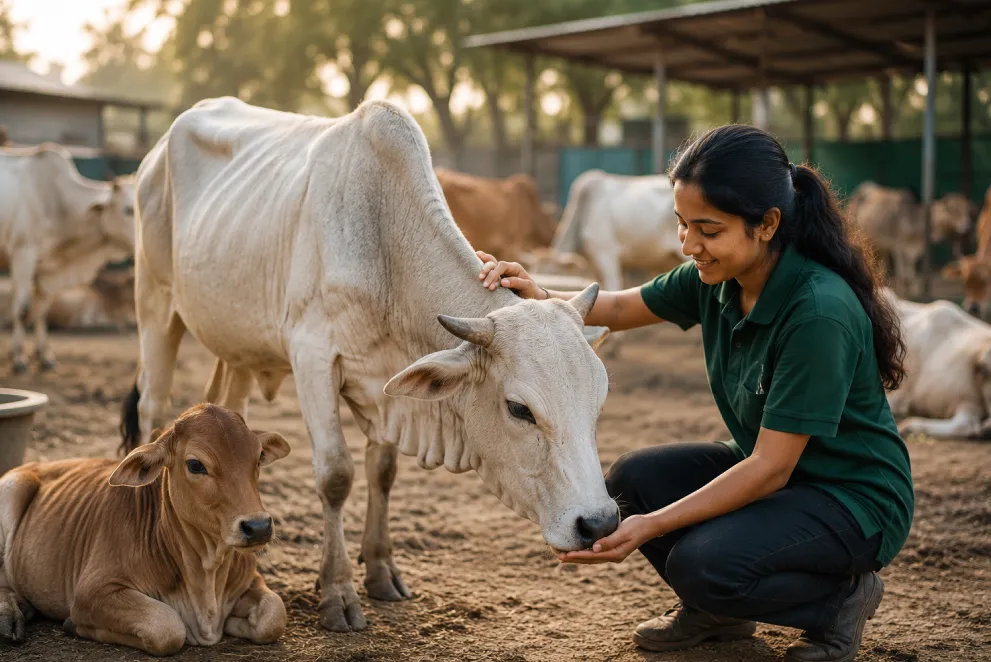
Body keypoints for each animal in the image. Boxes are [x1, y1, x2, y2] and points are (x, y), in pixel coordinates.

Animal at [0, 144, 136, 372]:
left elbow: (41, 308)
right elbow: (22, 308)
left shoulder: (45, 266)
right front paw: (19, 358)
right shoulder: (23, 254)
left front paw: (44, 355)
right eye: (128, 210)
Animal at [0, 403, 290, 655]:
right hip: (11, 488)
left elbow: (274, 617)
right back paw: (11, 616)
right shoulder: (92, 592)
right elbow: (167, 627)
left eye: (259, 457)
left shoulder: (252, 579)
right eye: (195, 464)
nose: (258, 527)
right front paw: (73, 625)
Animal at [119, 97, 619, 633]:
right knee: (152, 410)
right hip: (155, 305)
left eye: (598, 405)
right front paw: (337, 592)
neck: (385, 248)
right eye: (519, 409)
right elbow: (336, 475)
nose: (599, 522)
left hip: (237, 347)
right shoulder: (313, 358)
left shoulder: (387, 386)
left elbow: (382, 469)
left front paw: (381, 571)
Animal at [846, 182, 975, 297]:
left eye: (966, 210)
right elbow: (904, 276)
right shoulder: (899, 247)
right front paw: (904, 295)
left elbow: (910, 276)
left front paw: (910, 293)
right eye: (954, 210)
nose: (967, 226)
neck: (915, 218)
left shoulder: (913, 251)